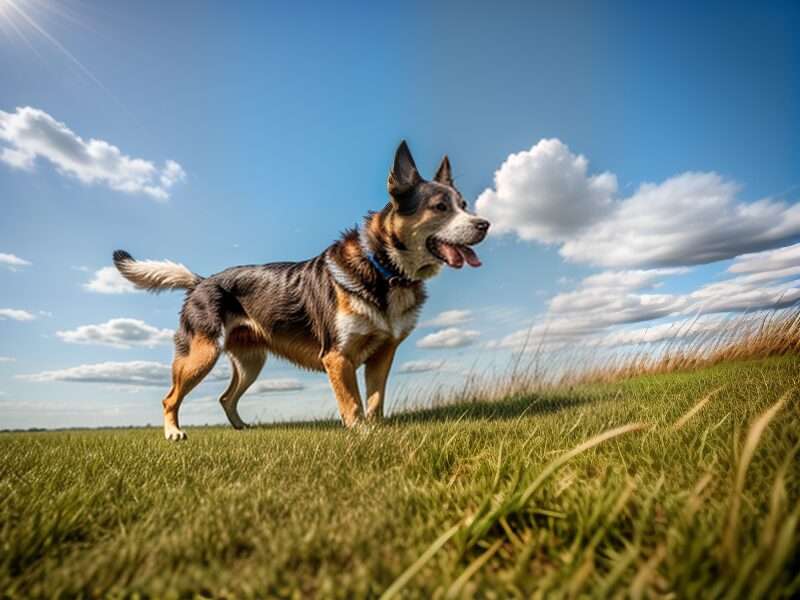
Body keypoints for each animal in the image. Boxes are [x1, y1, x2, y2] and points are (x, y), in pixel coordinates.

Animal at [112, 141, 488, 440]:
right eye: (440, 207)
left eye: (465, 205)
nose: (485, 224)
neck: (384, 268)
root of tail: (201, 280)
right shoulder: (337, 357)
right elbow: (353, 405)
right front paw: (363, 436)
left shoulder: (383, 354)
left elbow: (375, 402)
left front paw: (377, 431)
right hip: (200, 356)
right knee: (170, 397)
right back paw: (173, 433)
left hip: (251, 362)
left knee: (226, 397)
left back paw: (242, 429)